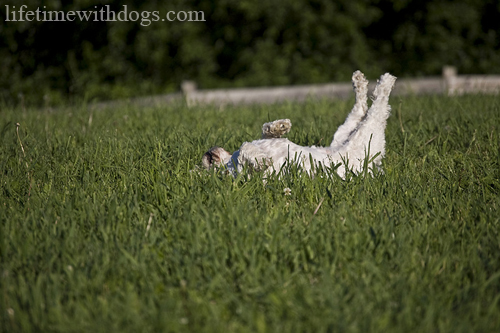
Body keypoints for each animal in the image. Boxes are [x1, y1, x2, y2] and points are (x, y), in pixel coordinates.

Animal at [201, 70, 396, 178]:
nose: (208, 152)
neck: (228, 163)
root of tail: (373, 169)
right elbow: (245, 148)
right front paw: (262, 159)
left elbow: (263, 131)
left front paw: (279, 126)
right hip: (366, 137)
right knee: (376, 106)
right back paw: (385, 81)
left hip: (342, 134)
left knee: (359, 108)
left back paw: (359, 81)